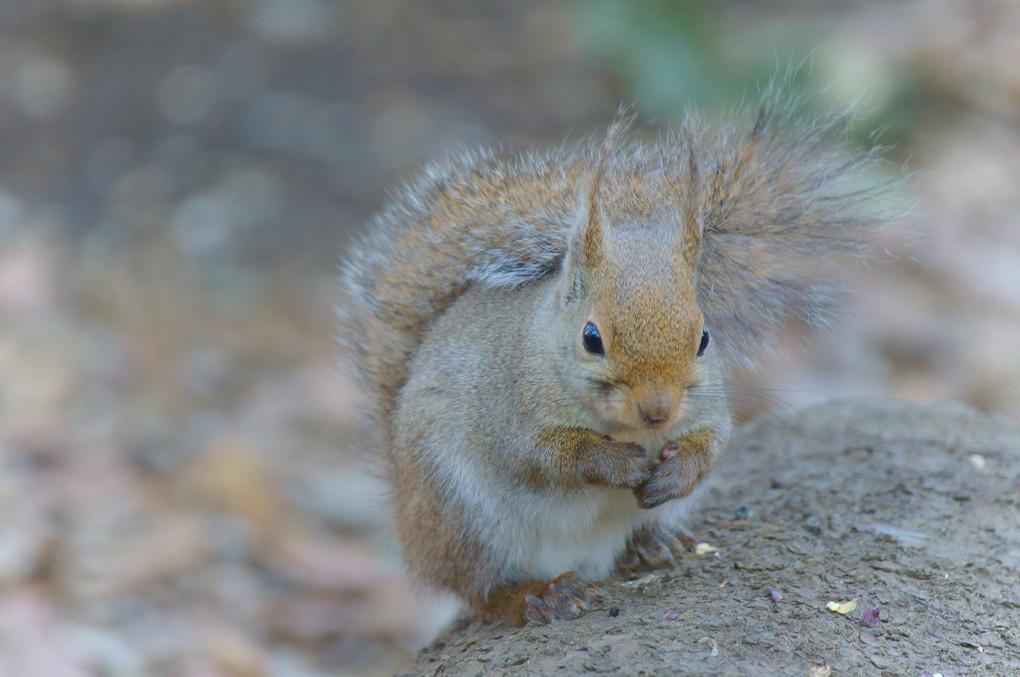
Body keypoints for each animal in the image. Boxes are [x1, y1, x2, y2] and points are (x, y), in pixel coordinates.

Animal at [332, 82, 893, 628]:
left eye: (704, 338)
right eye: (591, 338)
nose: (658, 411)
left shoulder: (707, 408)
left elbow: (712, 442)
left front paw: (675, 472)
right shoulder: (508, 415)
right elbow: (548, 456)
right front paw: (615, 464)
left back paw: (658, 542)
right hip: (464, 518)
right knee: (479, 591)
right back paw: (541, 595)